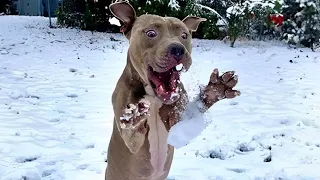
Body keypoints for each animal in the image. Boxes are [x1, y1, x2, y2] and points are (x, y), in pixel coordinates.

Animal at [105, 1, 240, 180]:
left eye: (184, 35)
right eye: (151, 33)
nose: (178, 49)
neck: (154, 98)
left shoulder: (179, 124)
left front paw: (215, 90)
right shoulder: (131, 142)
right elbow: (132, 134)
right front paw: (134, 116)